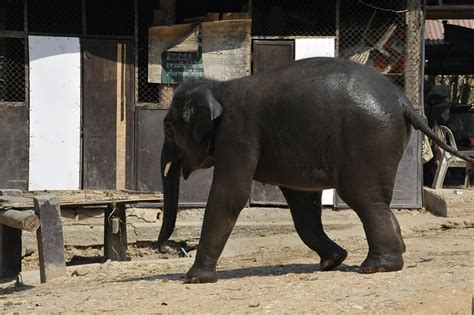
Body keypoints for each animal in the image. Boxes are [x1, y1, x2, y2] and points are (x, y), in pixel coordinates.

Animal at [157, 56, 472, 284]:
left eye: (168, 130)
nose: (164, 247)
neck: (218, 87)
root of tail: (403, 101)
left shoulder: (238, 135)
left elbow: (230, 195)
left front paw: (193, 279)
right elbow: (302, 202)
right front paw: (333, 261)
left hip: (368, 138)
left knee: (363, 197)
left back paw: (376, 268)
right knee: (377, 199)